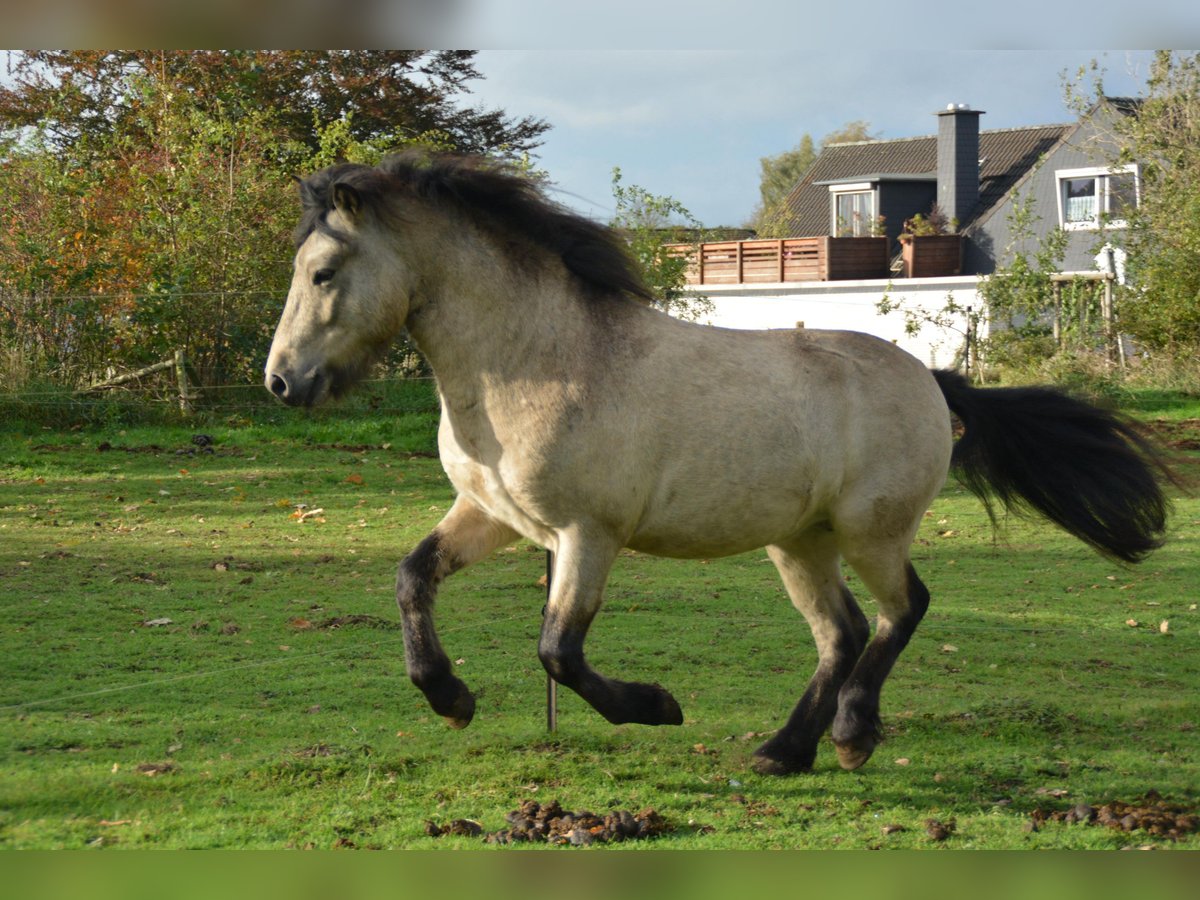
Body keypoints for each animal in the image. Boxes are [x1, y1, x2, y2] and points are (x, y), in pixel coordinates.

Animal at [265, 151, 1172, 775]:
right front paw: (450, 699)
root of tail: (931, 378)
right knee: (842, 632)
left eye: (325, 272)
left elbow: (560, 651)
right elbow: (412, 577)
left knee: (901, 611)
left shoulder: (586, 535)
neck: (534, 362)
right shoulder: (493, 517)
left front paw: (657, 708)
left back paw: (850, 736)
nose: (282, 383)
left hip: (870, 533)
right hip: (799, 540)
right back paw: (784, 751)